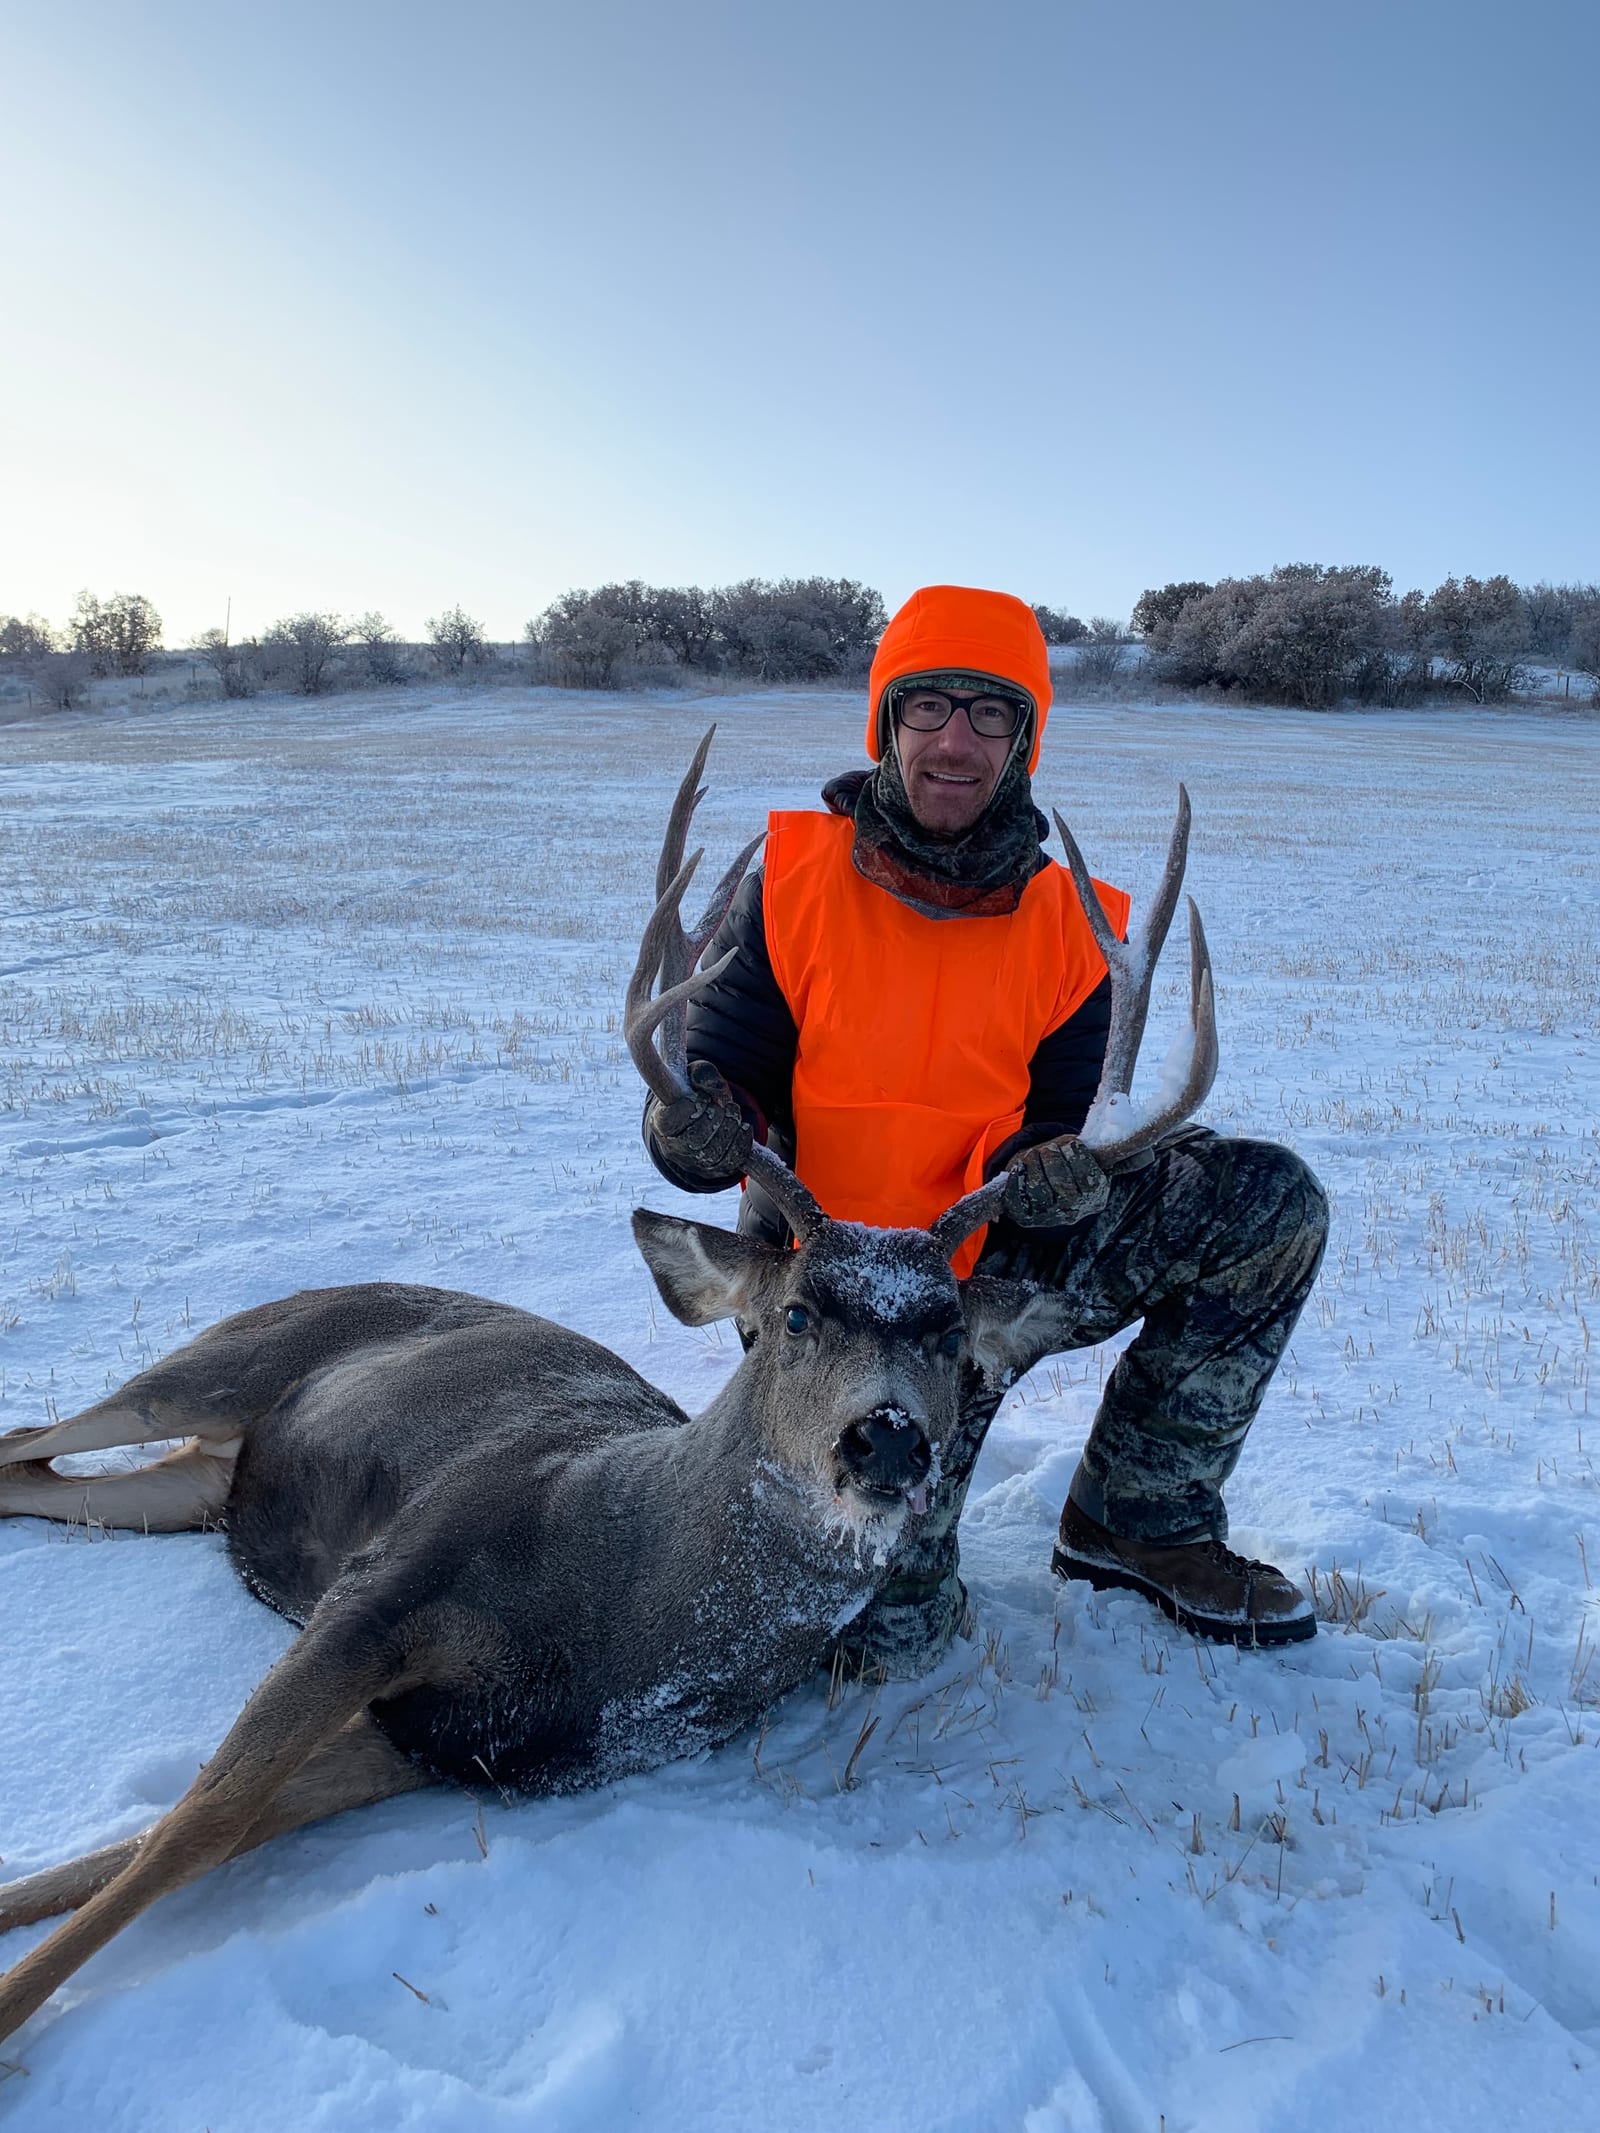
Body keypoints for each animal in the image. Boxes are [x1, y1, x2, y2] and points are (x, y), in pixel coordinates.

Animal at [0, 729, 1215, 2049]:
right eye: (795, 1315)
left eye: (948, 1334)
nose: (885, 1441)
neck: (609, 1609)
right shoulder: (384, 1585)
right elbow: (187, 1828)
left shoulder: (443, 1746)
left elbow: (160, 1845)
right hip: (225, 1358)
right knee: (34, 1428)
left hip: (185, 1489)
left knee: (45, 1470)